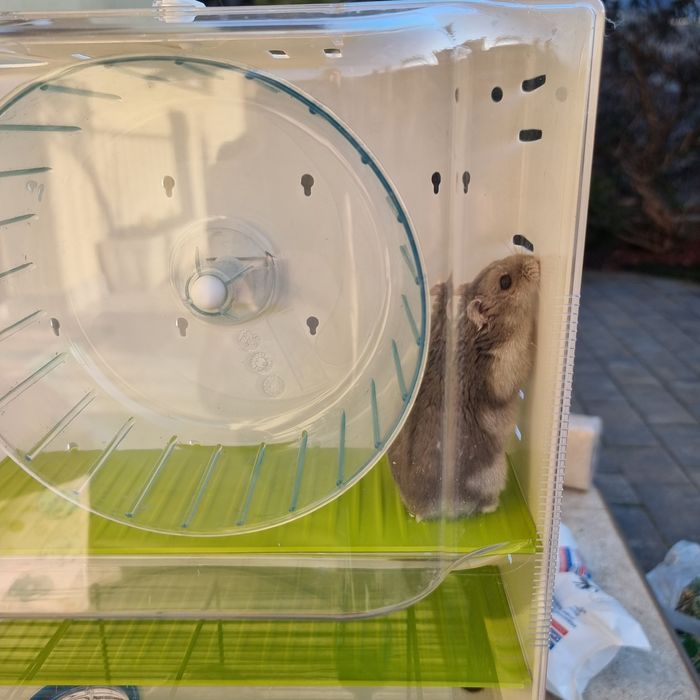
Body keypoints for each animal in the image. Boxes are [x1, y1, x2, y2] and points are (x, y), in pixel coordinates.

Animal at [388, 254, 540, 519]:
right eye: (505, 281)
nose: (535, 259)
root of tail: (420, 509)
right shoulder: (505, 363)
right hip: (493, 473)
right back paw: (493, 505)